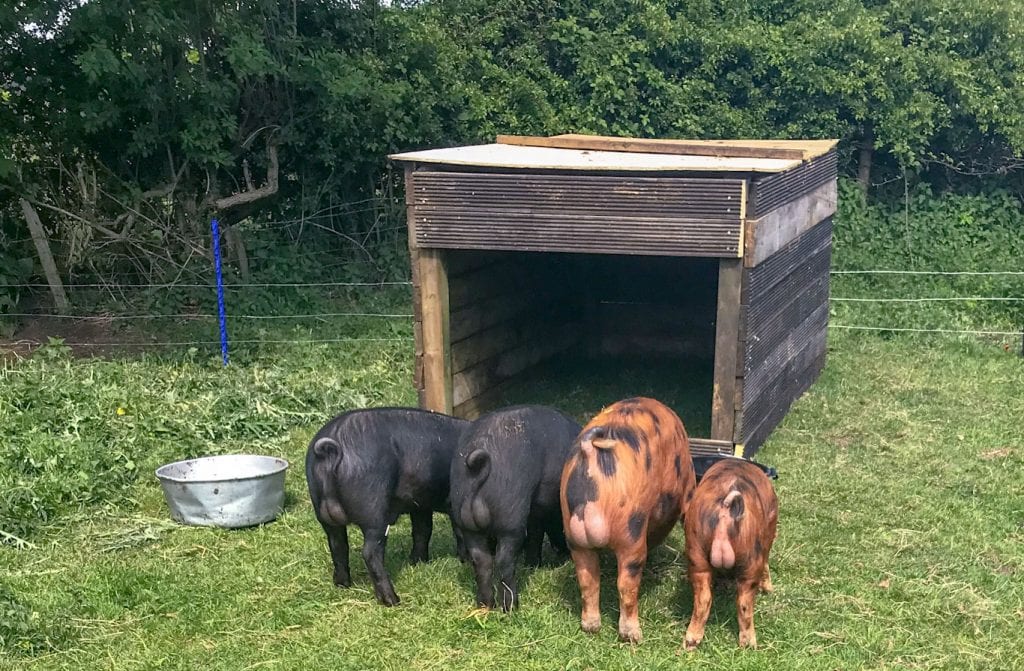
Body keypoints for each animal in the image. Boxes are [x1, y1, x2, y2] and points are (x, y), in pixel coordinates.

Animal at [305, 407, 469, 606]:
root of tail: (333, 447)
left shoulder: (420, 504)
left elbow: (423, 530)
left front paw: (418, 563)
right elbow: (458, 533)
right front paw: (464, 560)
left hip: (323, 514)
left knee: (337, 545)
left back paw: (342, 585)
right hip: (373, 510)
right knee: (370, 552)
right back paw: (393, 600)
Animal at [449, 405, 581, 611]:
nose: (564, 552)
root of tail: (476, 472)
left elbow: (535, 534)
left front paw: (534, 565)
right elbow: (536, 534)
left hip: (466, 523)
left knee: (481, 560)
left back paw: (485, 605)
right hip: (510, 520)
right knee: (504, 560)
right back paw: (511, 607)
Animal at [560, 397, 697, 644]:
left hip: (574, 537)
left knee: (587, 580)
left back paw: (591, 627)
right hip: (630, 533)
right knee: (626, 584)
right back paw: (633, 636)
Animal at [683, 458, 778, 650]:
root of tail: (726, 511)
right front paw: (769, 590)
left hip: (696, 552)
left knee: (704, 598)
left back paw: (690, 642)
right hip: (752, 559)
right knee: (744, 603)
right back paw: (750, 645)